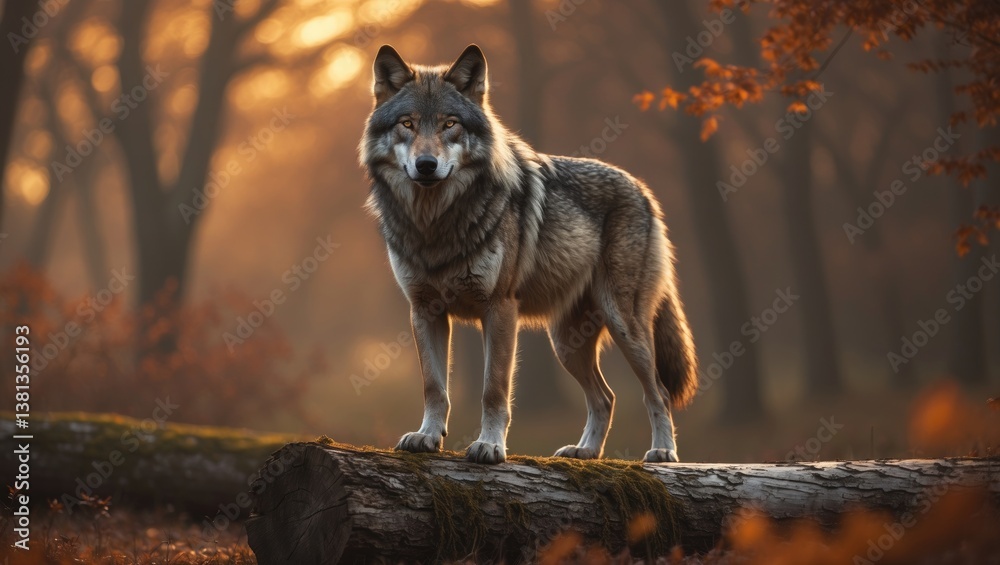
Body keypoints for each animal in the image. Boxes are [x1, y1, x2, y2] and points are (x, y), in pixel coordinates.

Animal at [359, 44, 698, 464]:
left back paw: (663, 451)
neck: (435, 224)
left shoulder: (500, 309)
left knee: (658, 393)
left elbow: (493, 389)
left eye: (450, 124)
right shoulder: (424, 311)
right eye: (407, 123)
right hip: (567, 343)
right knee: (606, 397)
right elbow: (434, 387)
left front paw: (490, 445)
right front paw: (427, 436)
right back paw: (585, 451)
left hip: (625, 328)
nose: (426, 165)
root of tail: (643, 190)